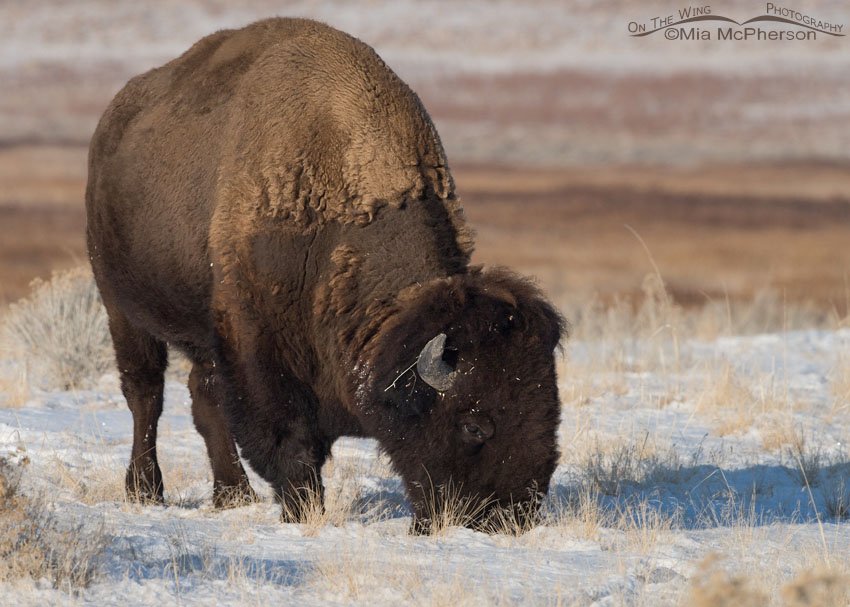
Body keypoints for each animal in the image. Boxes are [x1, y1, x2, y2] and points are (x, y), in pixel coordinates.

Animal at [86, 17, 565, 532]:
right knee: (145, 393)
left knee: (203, 395)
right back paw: (144, 490)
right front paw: (302, 511)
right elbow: (289, 443)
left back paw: (233, 495)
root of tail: (111, 125)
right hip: (121, 309)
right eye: (475, 425)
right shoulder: (259, 351)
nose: (513, 517)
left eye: (552, 416)